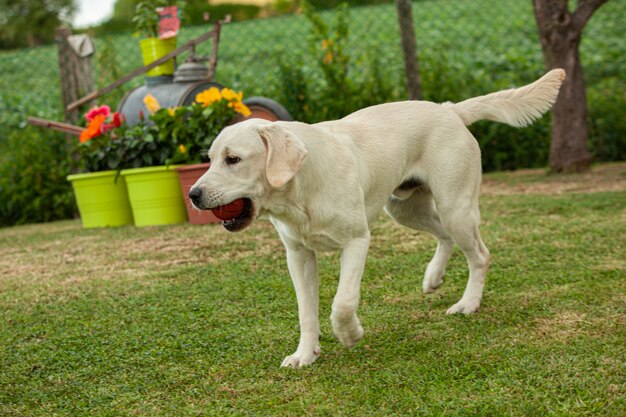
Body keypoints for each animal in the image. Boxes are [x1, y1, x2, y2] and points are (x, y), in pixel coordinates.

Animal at [188, 69, 564, 368]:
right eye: (210, 159)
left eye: (233, 159)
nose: (193, 194)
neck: (299, 192)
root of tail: (448, 109)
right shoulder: (298, 255)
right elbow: (306, 312)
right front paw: (305, 354)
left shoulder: (357, 241)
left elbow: (341, 303)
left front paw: (351, 335)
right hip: (404, 210)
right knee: (445, 237)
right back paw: (433, 277)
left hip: (454, 206)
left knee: (480, 255)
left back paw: (468, 303)